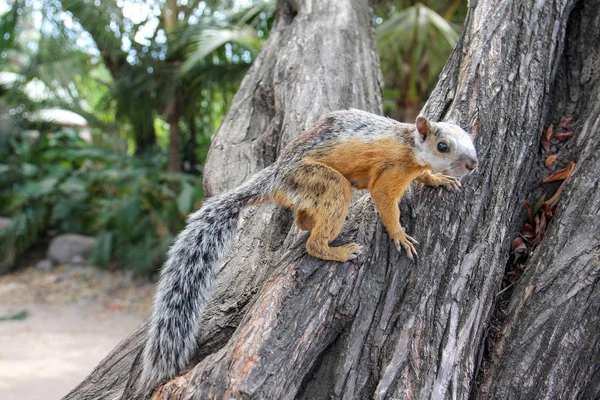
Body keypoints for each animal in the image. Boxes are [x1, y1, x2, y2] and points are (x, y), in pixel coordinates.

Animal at [139, 108, 478, 396]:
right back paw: (337, 252)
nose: (473, 164)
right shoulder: (392, 172)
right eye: (443, 146)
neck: (411, 147)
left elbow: (424, 176)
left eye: (470, 140)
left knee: (302, 220)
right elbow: (384, 200)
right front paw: (399, 235)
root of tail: (276, 176)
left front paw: (438, 179)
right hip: (323, 183)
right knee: (314, 240)